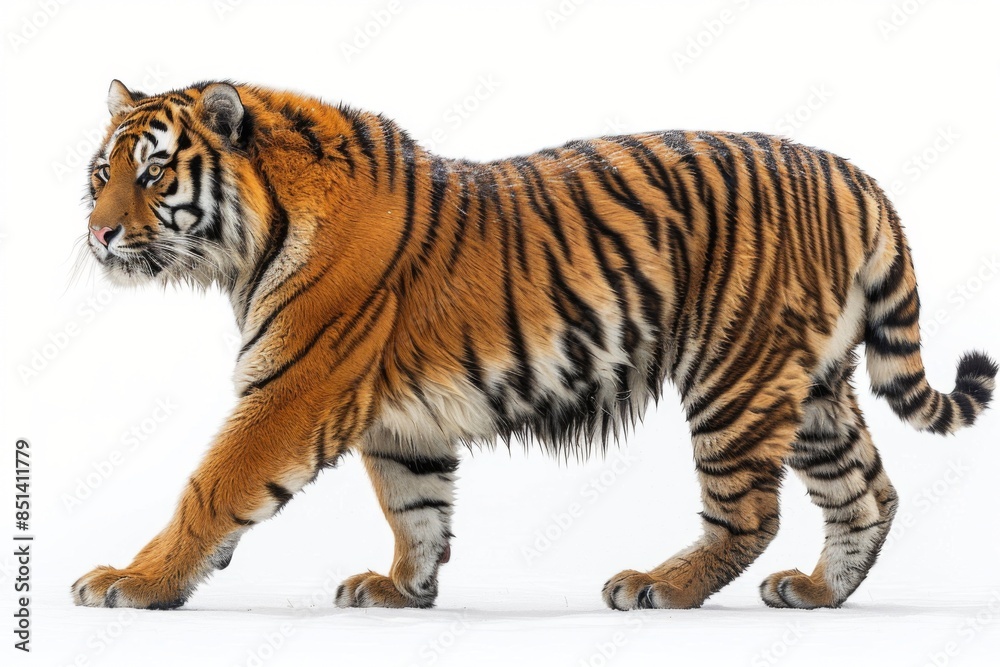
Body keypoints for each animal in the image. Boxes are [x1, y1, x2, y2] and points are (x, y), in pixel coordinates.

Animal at [72, 79, 997, 612]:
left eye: (152, 174)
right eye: (100, 174)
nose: (99, 233)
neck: (248, 242)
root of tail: (856, 176)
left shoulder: (293, 390)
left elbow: (213, 487)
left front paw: (135, 581)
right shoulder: (398, 419)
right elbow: (415, 504)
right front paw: (403, 589)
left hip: (737, 373)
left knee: (752, 512)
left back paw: (660, 586)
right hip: (811, 386)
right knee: (866, 493)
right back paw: (815, 592)